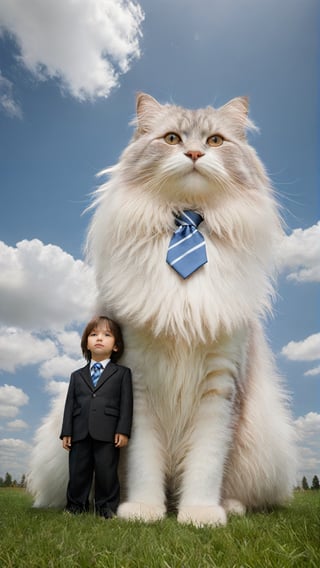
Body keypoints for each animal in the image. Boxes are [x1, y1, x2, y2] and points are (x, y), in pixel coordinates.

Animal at [27, 94, 296, 528]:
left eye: (215, 140)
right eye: (171, 138)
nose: (195, 153)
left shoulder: (220, 385)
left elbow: (207, 464)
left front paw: (200, 514)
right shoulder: (138, 382)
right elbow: (142, 464)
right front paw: (142, 511)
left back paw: (230, 508)